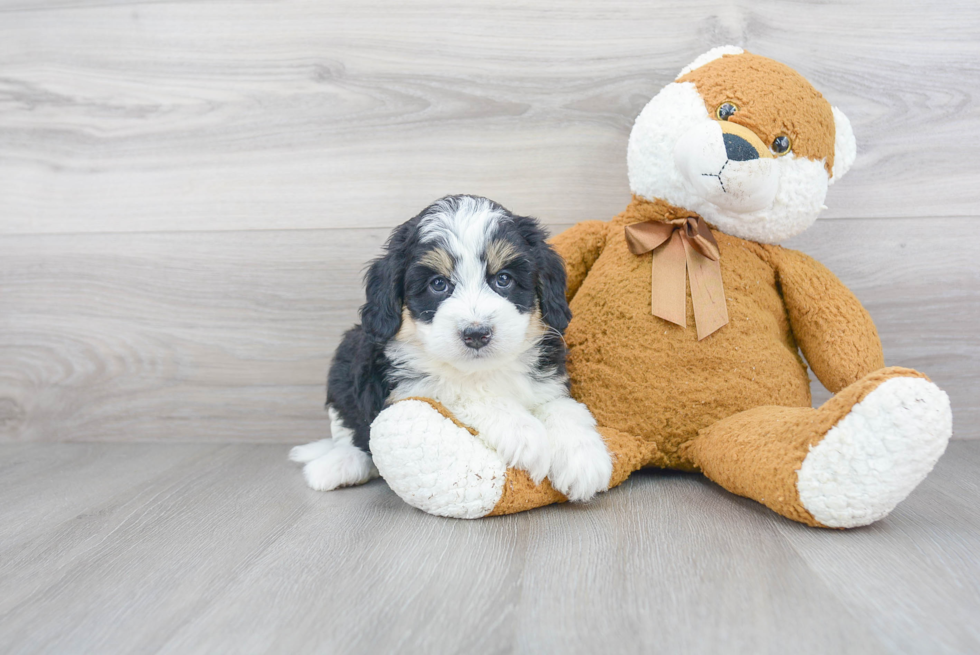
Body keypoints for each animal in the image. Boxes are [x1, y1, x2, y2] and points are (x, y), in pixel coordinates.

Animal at [290, 195, 612, 502]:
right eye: (438, 284)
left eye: (503, 279)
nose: (476, 334)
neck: (484, 370)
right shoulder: (407, 387)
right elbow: (459, 390)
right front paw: (524, 433)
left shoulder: (548, 378)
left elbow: (562, 406)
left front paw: (583, 458)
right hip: (346, 357)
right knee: (351, 433)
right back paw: (336, 465)